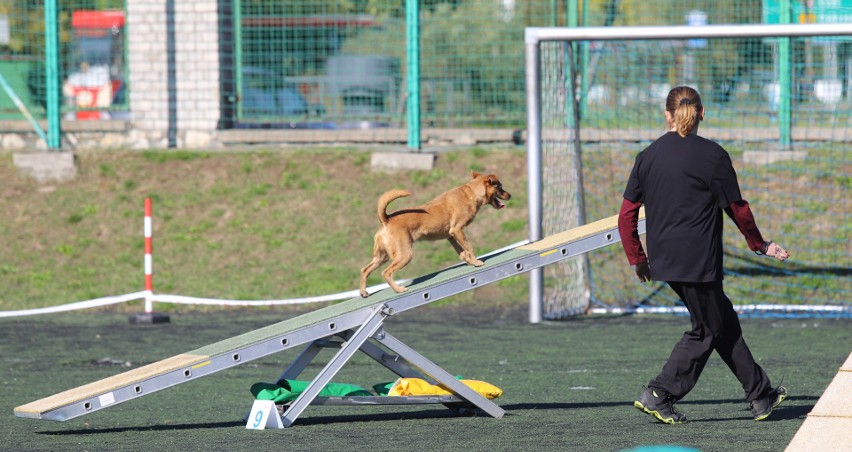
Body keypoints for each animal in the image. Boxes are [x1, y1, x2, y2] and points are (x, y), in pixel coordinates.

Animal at [360, 172, 512, 296]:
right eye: (500, 187)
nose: (510, 195)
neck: (471, 193)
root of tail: (386, 220)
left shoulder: (451, 235)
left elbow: (461, 251)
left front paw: (468, 261)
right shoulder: (457, 230)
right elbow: (469, 246)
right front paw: (476, 262)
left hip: (382, 256)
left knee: (365, 269)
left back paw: (364, 292)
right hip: (405, 254)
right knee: (386, 272)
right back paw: (398, 289)